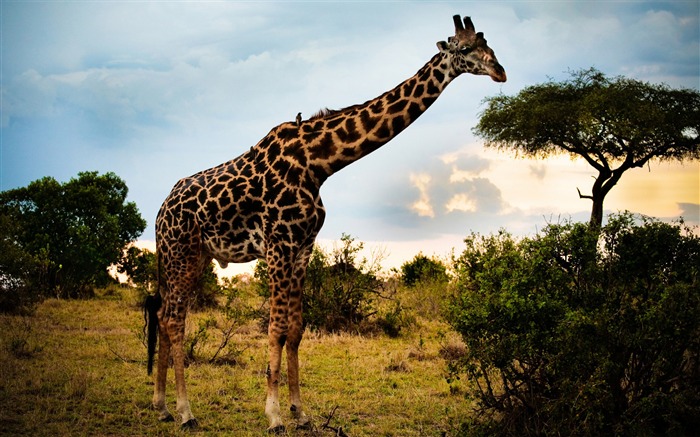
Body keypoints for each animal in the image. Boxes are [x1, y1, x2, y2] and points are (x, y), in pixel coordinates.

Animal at [148, 14, 506, 432]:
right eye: (464, 49)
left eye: (490, 44)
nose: (500, 72)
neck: (320, 163)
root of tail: (160, 212)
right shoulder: (279, 245)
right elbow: (275, 327)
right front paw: (274, 416)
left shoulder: (303, 247)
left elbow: (296, 329)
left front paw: (300, 412)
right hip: (182, 253)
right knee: (174, 319)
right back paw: (186, 412)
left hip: (194, 256)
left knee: (163, 314)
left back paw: (162, 405)